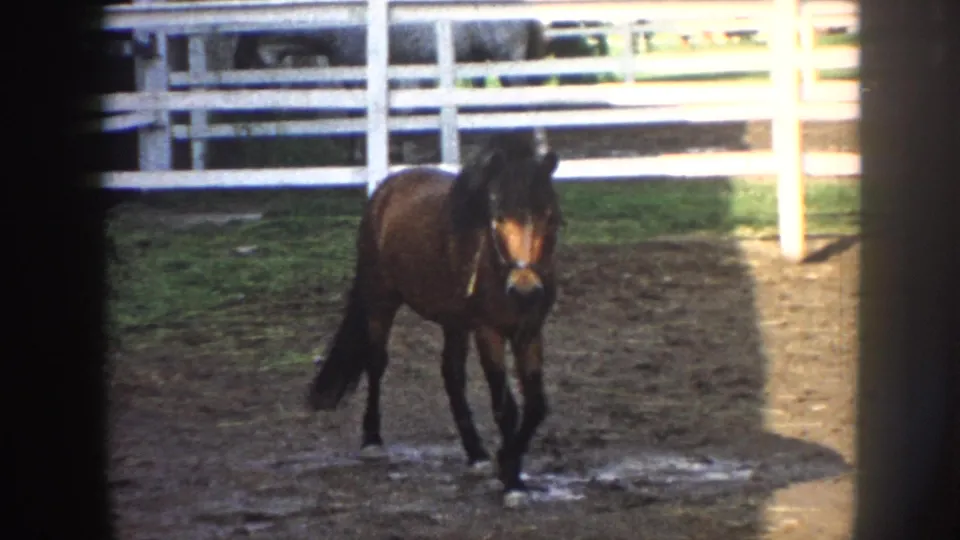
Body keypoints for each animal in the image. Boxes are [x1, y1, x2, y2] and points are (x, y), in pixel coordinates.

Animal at [306, 130, 562, 509]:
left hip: (453, 322)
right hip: (381, 301)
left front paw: (505, 464)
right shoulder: (488, 332)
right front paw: (511, 478)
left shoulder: (529, 332)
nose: (525, 289)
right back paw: (372, 440)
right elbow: (506, 407)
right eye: (498, 217)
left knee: (451, 374)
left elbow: (536, 407)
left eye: (550, 216)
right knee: (376, 363)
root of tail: (388, 188)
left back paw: (476, 454)